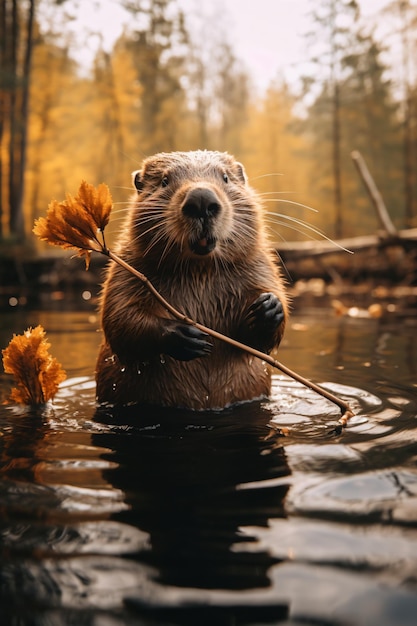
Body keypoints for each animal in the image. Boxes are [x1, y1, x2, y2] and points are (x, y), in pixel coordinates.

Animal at [95, 149, 288, 408]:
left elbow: (260, 341)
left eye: (225, 177)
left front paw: (269, 306)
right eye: (164, 180)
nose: (201, 200)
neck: (199, 268)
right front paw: (188, 337)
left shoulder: (260, 265)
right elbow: (120, 318)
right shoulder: (126, 267)